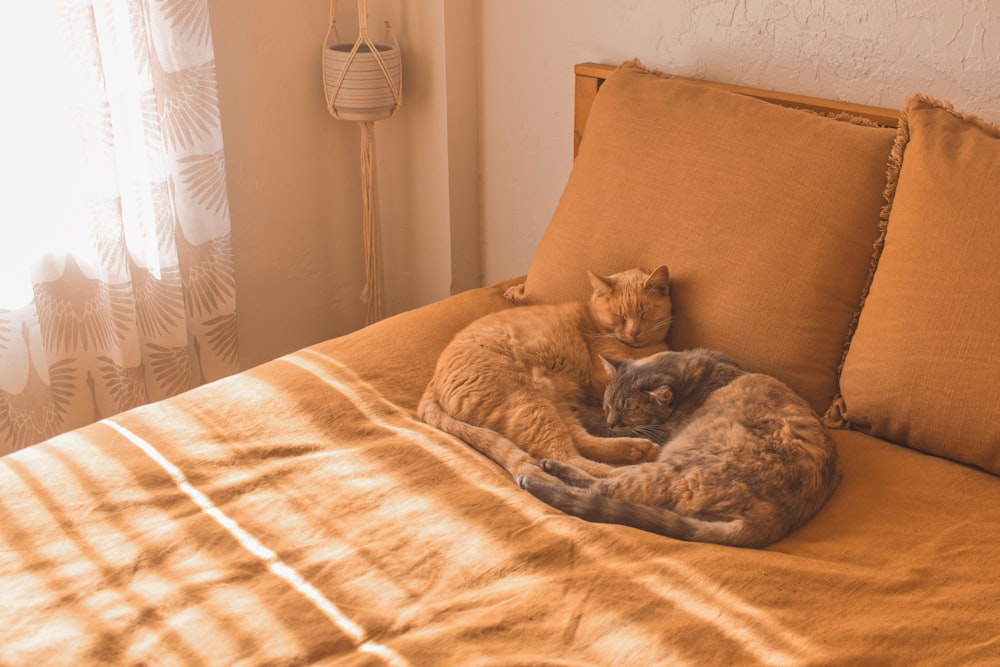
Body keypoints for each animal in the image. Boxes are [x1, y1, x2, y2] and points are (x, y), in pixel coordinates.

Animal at [418, 264, 676, 480]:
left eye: (644, 313)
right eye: (620, 316)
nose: (633, 332)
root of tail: (431, 384)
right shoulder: (603, 379)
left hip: (556, 406)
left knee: (579, 440)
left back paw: (635, 450)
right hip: (530, 405)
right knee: (566, 457)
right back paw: (626, 472)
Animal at [520, 350, 840, 548]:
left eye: (626, 412)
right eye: (608, 404)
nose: (612, 421)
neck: (696, 373)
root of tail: (773, 518)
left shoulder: (659, 434)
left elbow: (602, 428)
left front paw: (581, 413)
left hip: (668, 466)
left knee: (604, 487)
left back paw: (539, 476)